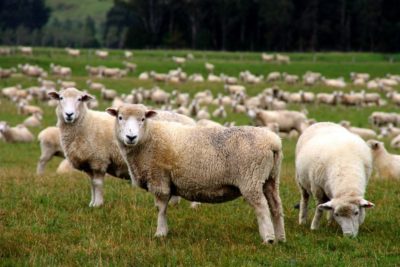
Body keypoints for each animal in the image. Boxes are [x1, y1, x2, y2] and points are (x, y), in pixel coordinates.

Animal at [47, 89, 198, 208]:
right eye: (61, 98)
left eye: (79, 99)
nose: (69, 114)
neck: (85, 123)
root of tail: (191, 121)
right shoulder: (90, 163)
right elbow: (92, 184)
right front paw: (92, 203)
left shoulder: (99, 160)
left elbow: (97, 184)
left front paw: (98, 205)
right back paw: (173, 204)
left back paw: (194, 206)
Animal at [106, 103, 286, 244]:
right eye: (120, 117)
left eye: (143, 119)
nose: (131, 136)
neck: (148, 137)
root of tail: (274, 143)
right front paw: (163, 232)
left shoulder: (159, 178)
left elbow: (161, 208)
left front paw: (160, 233)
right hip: (271, 178)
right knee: (276, 206)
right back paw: (281, 238)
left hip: (251, 178)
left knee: (261, 207)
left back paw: (268, 239)